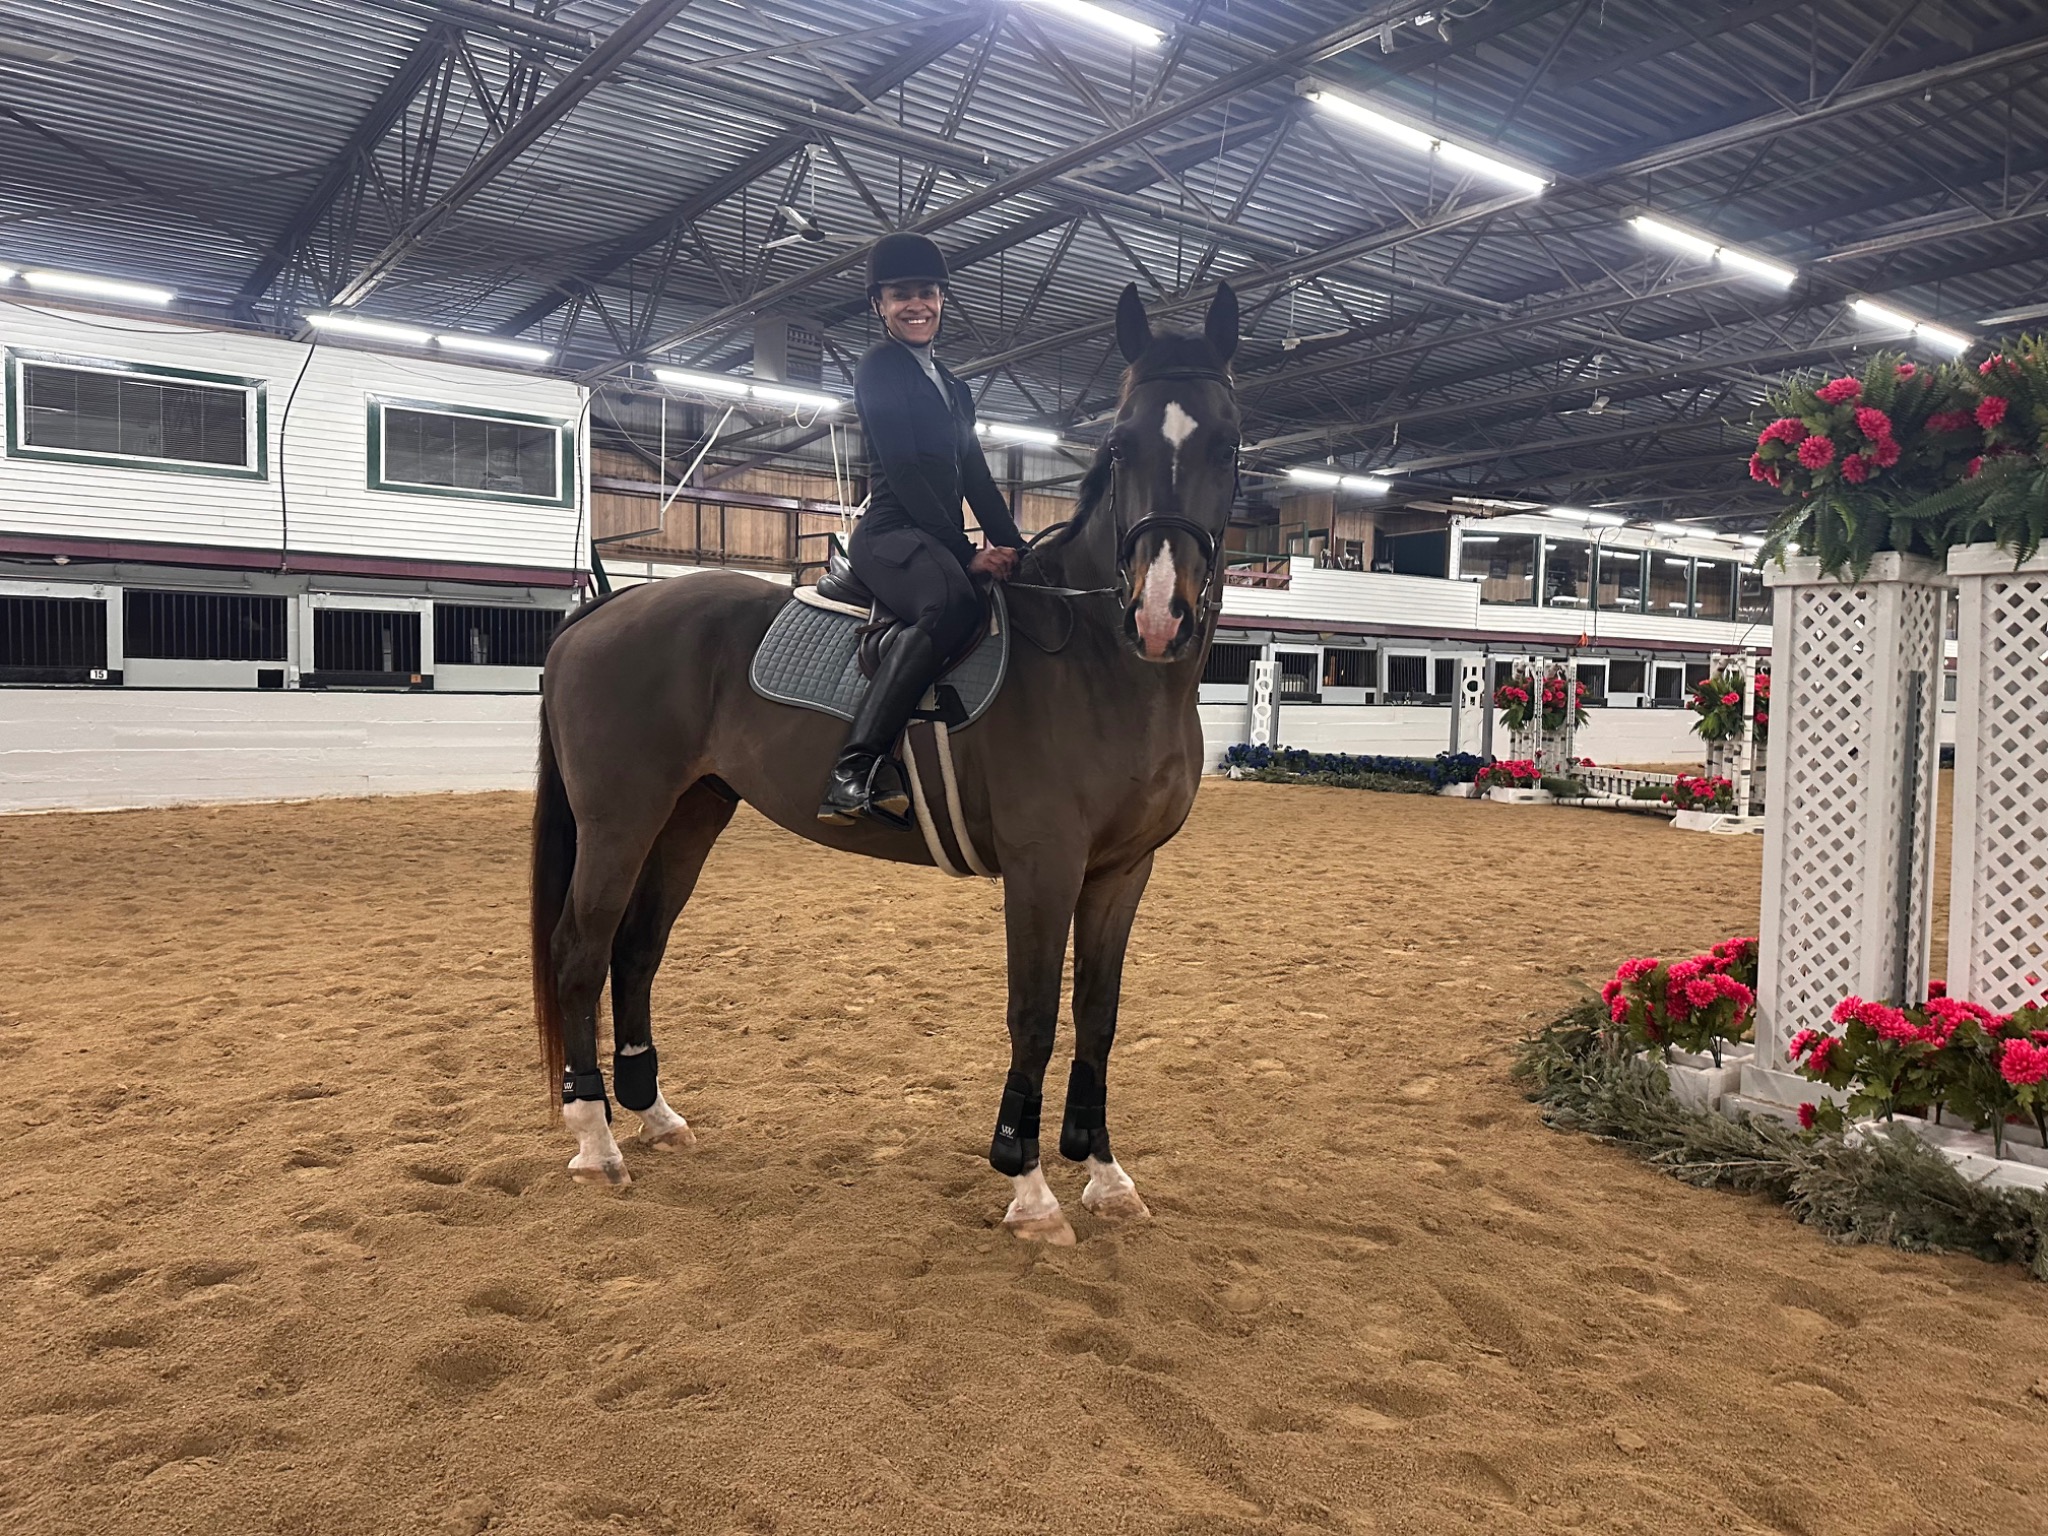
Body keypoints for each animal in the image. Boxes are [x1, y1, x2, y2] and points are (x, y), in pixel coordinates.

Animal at [530, 281, 1241, 1244]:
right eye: (1121, 445)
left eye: (1227, 443)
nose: (1160, 615)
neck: (1100, 660)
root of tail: (605, 610)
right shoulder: (1044, 865)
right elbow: (1033, 1017)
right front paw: (1029, 1188)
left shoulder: (1124, 870)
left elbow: (1098, 1016)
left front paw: (1104, 1172)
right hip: (619, 818)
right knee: (582, 950)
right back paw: (596, 1139)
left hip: (692, 812)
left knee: (637, 950)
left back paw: (654, 1115)